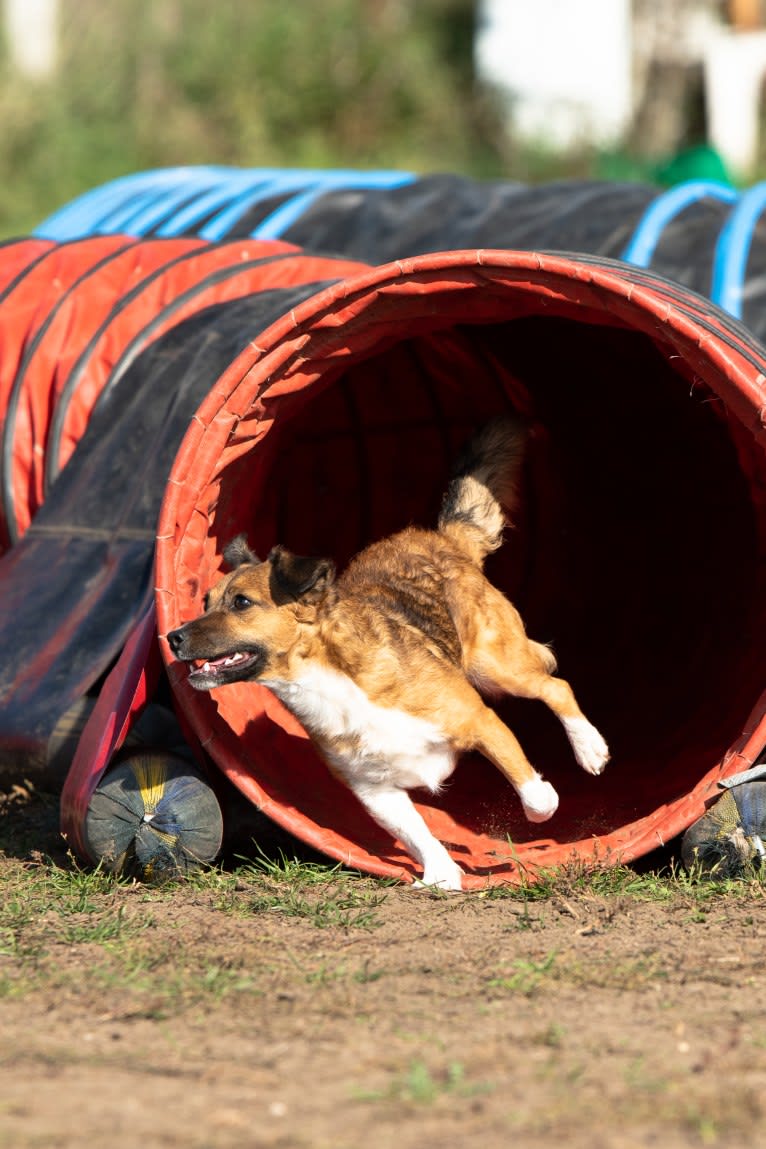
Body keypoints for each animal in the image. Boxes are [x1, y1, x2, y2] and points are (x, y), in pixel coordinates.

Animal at [165, 418, 606, 891]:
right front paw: (440, 876)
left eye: (242, 603)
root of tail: (443, 537)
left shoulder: (481, 721)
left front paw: (542, 804)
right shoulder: (374, 790)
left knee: (556, 686)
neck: (328, 679)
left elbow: (535, 796)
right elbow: (418, 834)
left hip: (496, 667)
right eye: (206, 602)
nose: (172, 638)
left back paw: (590, 750)